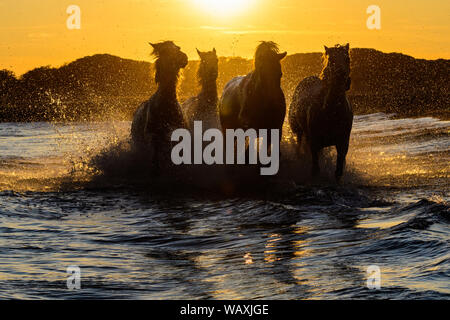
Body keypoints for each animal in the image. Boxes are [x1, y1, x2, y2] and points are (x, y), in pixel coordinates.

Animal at [288, 43, 356, 181]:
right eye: (331, 60)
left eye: (347, 59)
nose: (342, 80)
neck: (331, 112)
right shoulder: (314, 142)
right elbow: (315, 169)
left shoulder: (343, 143)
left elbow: (338, 171)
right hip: (299, 132)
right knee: (299, 145)